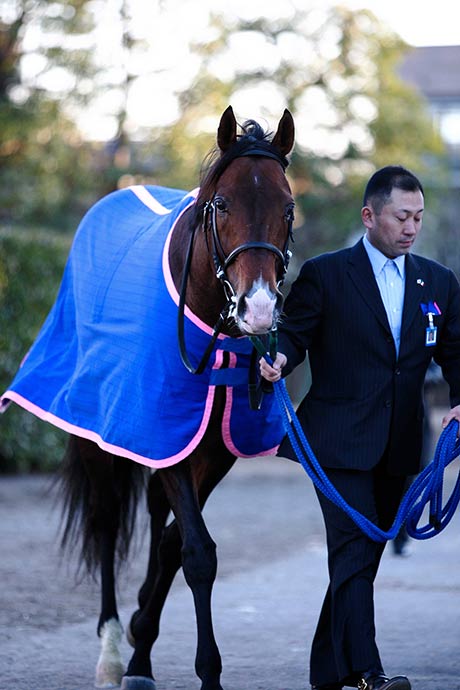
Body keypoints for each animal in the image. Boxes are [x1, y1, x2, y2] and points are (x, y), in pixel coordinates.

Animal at [0, 105, 294, 684]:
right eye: (222, 204)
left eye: (288, 208)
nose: (258, 308)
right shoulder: (161, 431)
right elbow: (198, 552)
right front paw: (203, 669)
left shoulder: (209, 448)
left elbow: (176, 543)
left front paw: (147, 637)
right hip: (99, 437)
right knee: (107, 521)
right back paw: (113, 652)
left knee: (158, 521)